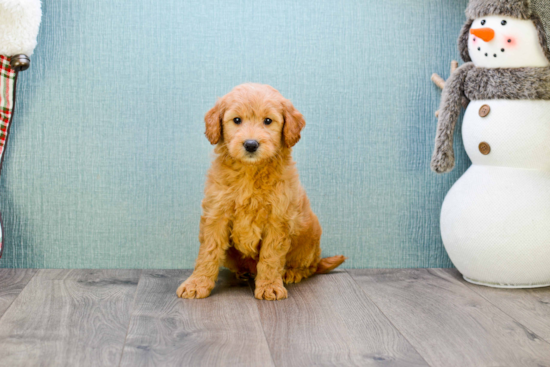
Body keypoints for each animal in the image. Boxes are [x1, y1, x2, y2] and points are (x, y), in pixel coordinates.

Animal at [177, 84, 344, 302]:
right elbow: (208, 252)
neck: (250, 171)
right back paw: (245, 272)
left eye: (268, 121)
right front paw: (197, 283)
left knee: (309, 266)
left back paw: (293, 272)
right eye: (236, 120)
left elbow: (271, 256)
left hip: (310, 236)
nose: (251, 144)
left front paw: (270, 286)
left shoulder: (278, 219)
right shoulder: (216, 213)